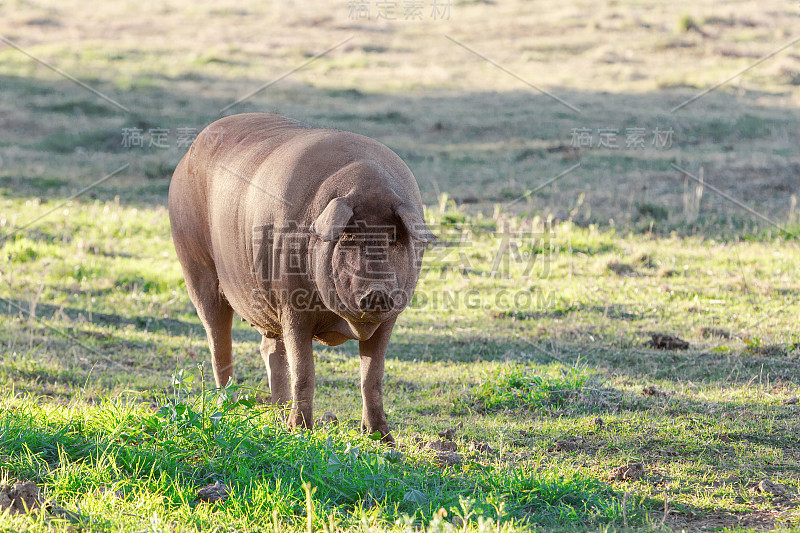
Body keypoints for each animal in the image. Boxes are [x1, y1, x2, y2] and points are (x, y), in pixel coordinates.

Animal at [166, 114, 434, 442]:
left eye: (394, 237)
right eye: (349, 236)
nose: (377, 292)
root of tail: (189, 152)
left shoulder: (389, 318)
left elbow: (372, 377)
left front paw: (383, 439)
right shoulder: (292, 306)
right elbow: (305, 371)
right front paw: (302, 432)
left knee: (270, 351)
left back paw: (277, 417)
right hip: (196, 267)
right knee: (219, 343)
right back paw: (229, 410)